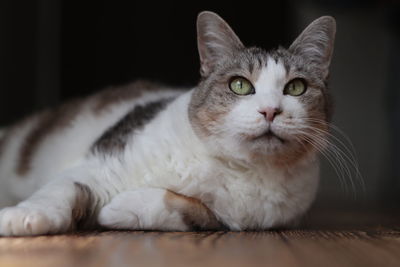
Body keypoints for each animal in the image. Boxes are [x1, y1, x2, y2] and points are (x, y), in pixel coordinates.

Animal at [0, 11, 334, 237]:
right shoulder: (99, 163)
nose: (270, 111)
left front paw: (118, 209)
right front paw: (25, 217)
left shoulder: (243, 217)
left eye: (296, 88)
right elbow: (60, 190)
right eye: (240, 85)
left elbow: (195, 213)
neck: (237, 167)